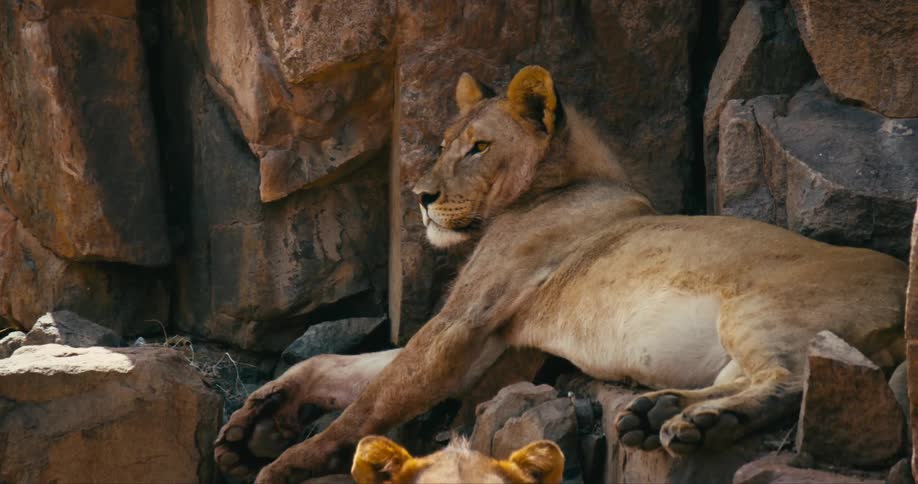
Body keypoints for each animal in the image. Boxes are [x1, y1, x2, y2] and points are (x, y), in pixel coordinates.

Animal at [214, 65, 907, 483]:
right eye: (443, 143)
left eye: (479, 147)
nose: (421, 196)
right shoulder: (494, 344)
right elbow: (346, 369)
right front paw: (254, 423)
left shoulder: (465, 324)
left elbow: (370, 402)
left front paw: (286, 463)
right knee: (749, 379)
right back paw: (657, 413)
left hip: (758, 306)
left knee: (791, 379)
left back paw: (703, 424)